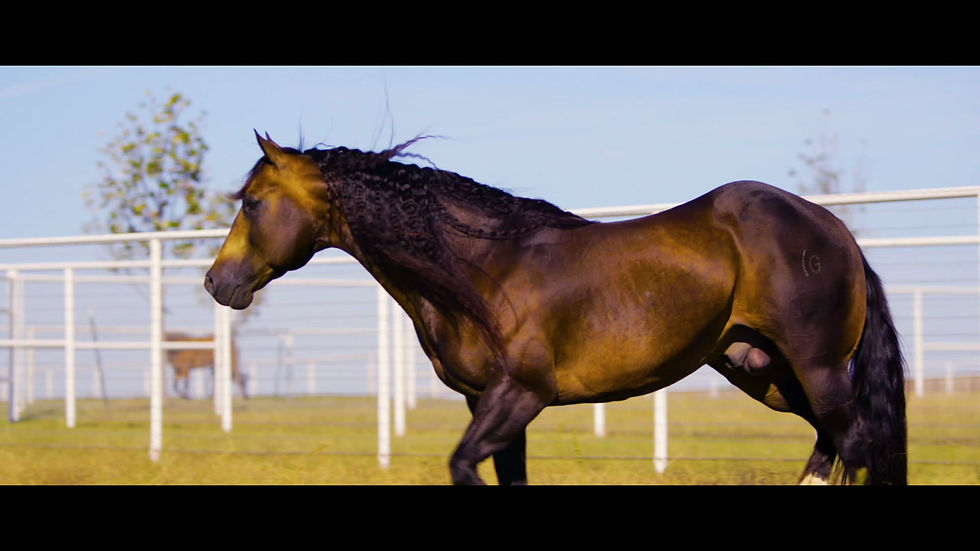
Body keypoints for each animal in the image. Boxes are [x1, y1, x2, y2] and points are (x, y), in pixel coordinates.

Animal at [204, 132, 907, 485]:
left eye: (253, 203)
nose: (217, 283)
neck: (487, 268)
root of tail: (835, 231)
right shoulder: (486, 402)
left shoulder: (521, 394)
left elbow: (464, 466)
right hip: (766, 373)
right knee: (832, 443)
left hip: (815, 368)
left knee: (855, 443)